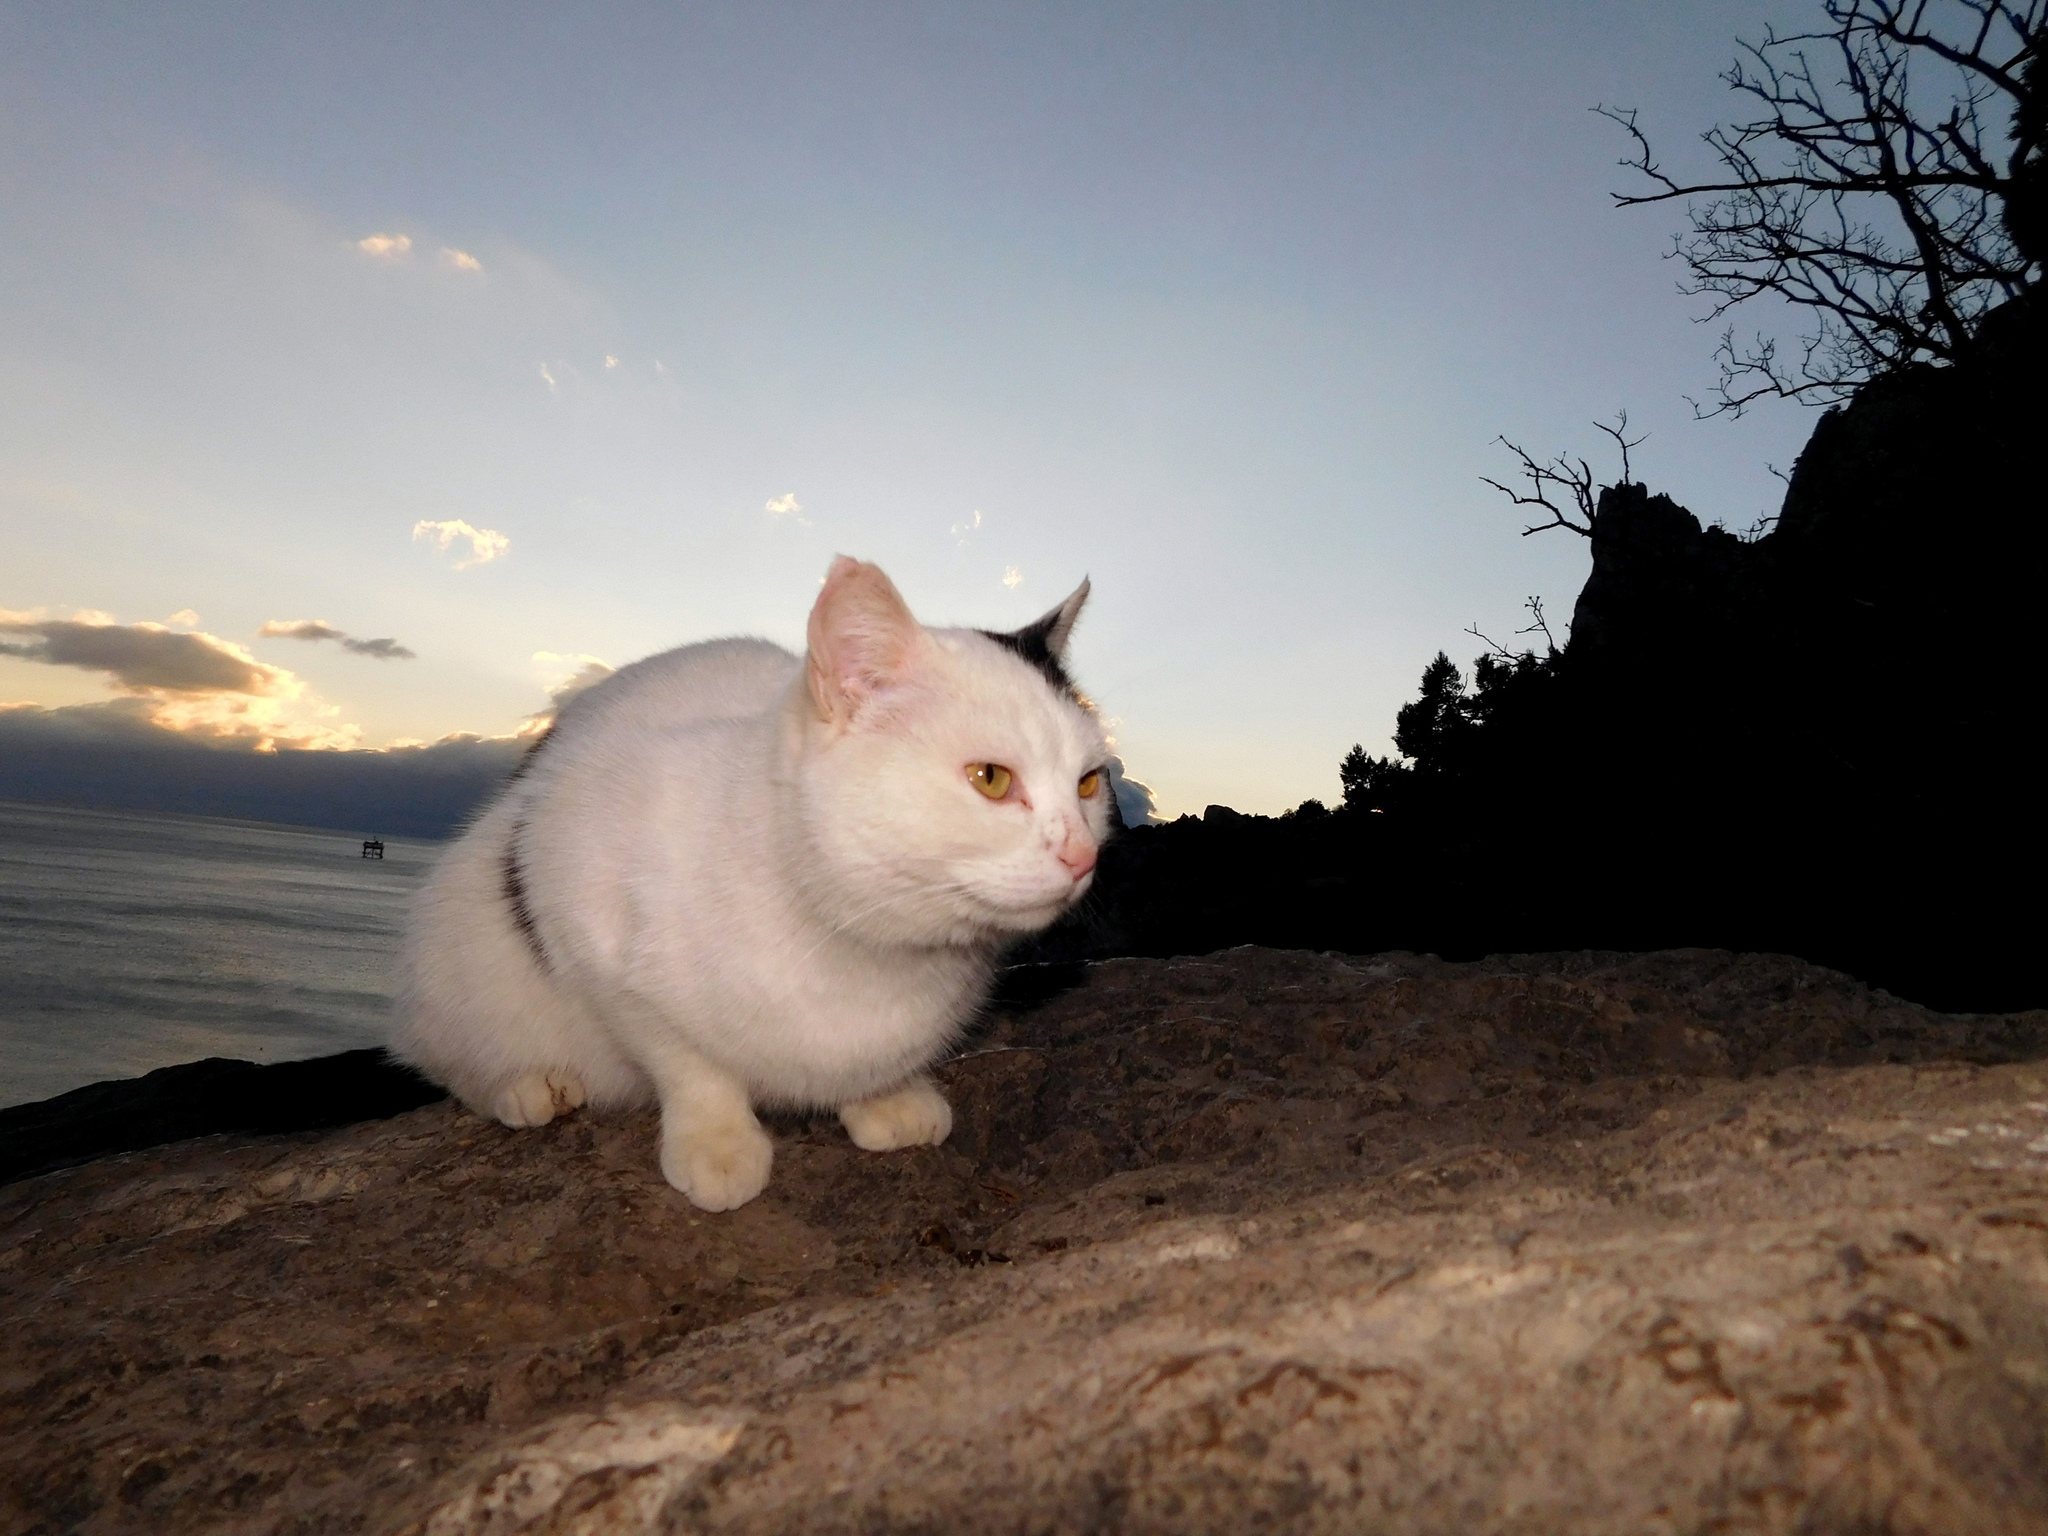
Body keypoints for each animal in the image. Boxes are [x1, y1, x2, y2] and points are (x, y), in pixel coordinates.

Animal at [389, 557, 1114, 1212]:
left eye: (1089, 783)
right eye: (991, 778)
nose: (1083, 856)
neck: (862, 954)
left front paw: (885, 1097)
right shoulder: (583, 914)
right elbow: (688, 1063)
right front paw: (718, 1144)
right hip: (455, 949)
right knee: (449, 1057)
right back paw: (528, 1086)